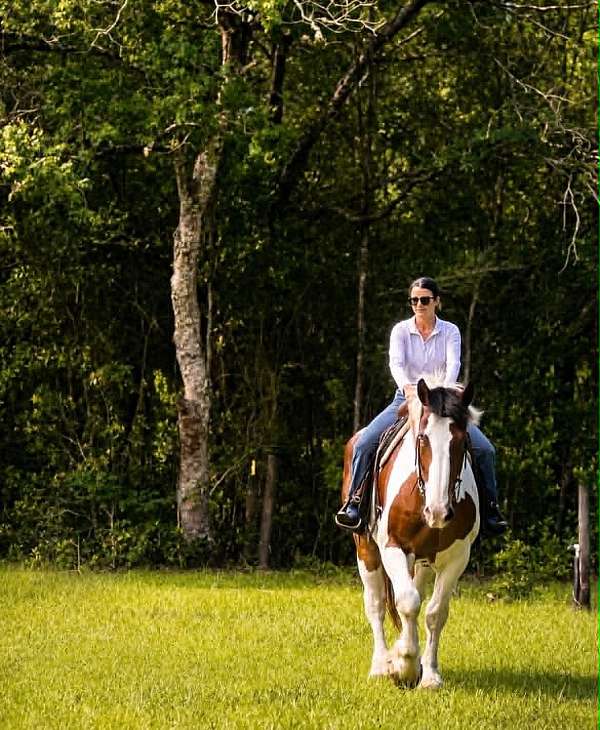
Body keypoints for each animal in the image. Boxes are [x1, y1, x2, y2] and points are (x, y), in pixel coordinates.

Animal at [341, 378, 480, 689]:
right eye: (423, 439)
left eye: (461, 441)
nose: (438, 512)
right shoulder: (393, 547)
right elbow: (406, 602)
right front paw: (403, 666)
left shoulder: (458, 557)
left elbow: (434, 613)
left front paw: (428, 674)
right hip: (366, 550)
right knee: (377, 604)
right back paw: (380, 665)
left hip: (424, 561)